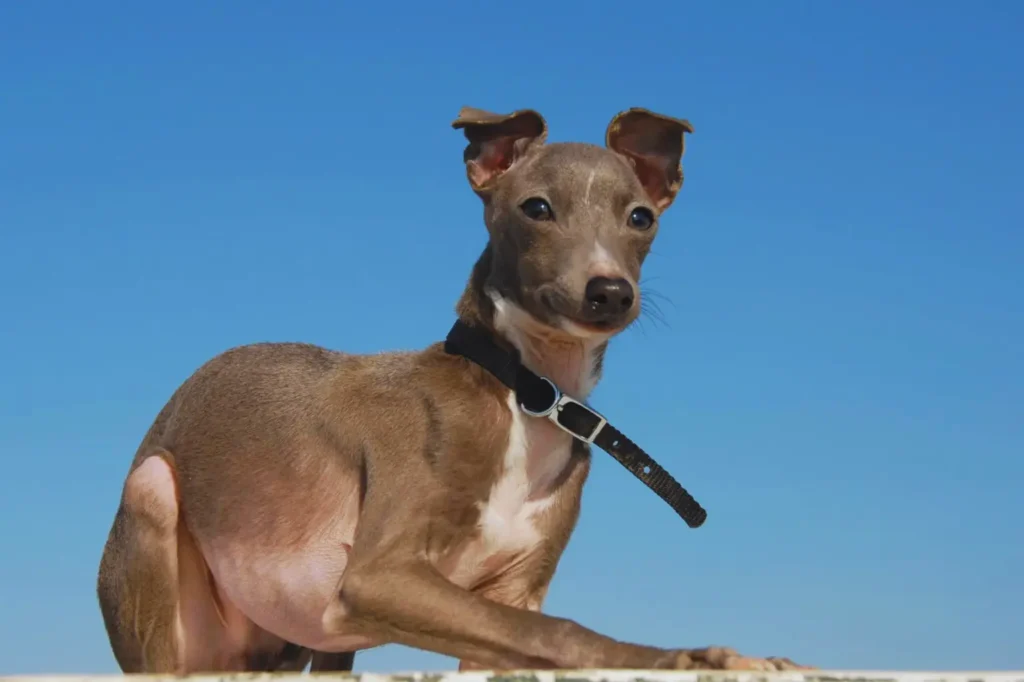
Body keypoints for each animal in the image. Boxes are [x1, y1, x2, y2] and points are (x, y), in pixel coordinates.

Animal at [97, 104, 806, 667]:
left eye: (640, 218)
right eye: (537, 208)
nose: (609, 292)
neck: (526, 395)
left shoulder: (509, 592)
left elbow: (529, 632)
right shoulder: (378, 577)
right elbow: (560, 631)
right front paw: (692, 656)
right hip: (154, 504)